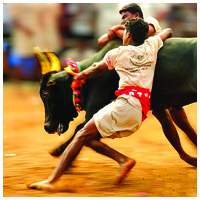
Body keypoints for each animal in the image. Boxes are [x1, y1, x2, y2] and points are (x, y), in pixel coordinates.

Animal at [36, 37, 196, 167]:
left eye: (45, 94)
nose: (47, 126)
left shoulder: (95, 108)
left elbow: (79, 130)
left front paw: (58, 151)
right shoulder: (159, 107)